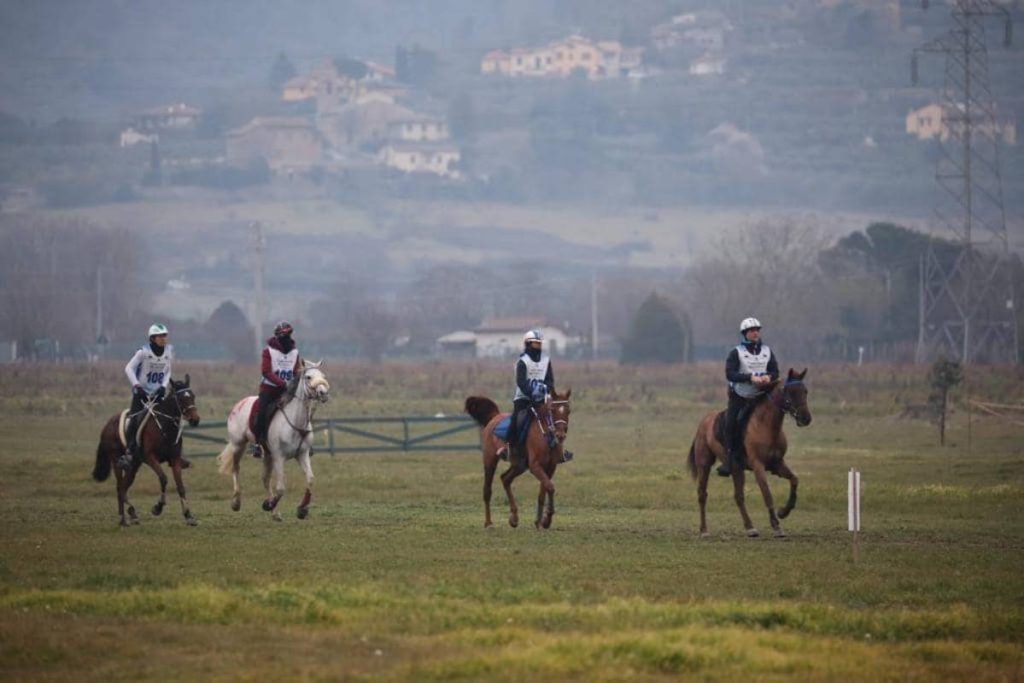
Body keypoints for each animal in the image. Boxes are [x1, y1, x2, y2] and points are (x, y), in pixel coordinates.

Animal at [91, 374, 200, 528]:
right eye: (180, 399)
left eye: (193, 396)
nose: (195, 420)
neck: (165, 427)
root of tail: (108, 424)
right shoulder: (150, 457)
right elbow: (163, 478)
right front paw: (158, 507)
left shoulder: (175, 460)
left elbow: (180, 486)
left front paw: (189, 516)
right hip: (117, 461)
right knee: (120, 488)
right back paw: (125, 517)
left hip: (134, 465)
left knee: (124, 486)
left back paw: (130, 515)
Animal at [218, 360, 329, 520]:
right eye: (308, 377)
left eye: (323, 376)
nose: (323, 393)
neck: (296, 423)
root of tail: (240, 403)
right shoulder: (279, 457)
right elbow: (281, 488)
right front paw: (267, 505)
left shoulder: (302, 455)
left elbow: (310, 479)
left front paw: (302, 509)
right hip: (238, 445)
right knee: (236, 469)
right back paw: (236, 502)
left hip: (267, 455)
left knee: (265, 479)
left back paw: (275, 513)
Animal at [466, 389, 573, 528]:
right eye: (553, 410)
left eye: (568, 410)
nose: (560, 435)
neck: (545, 436)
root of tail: (495, 417)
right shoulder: (535, 466)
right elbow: (550, 487)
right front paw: (546, 519)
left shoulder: (550, 467)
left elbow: (543, 491)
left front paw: (541, 521)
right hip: (490, 461)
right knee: (487, 490)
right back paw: (488, 523)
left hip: (519, 465)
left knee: (505, 479)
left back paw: (514, 518)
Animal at [684, 368, 811, 540]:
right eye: (791, 392)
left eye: (805, 391)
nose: (806, 418)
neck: (766, 425)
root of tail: (704, 422)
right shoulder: (758, 466)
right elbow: (767, 494)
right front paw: (776, 526)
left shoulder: (777, 464)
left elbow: (794, 480)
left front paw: (784, 512)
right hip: (705, 465)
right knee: (702, 494)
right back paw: (704, 530)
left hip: (737, 468)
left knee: (738, 497)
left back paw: (750, 528)